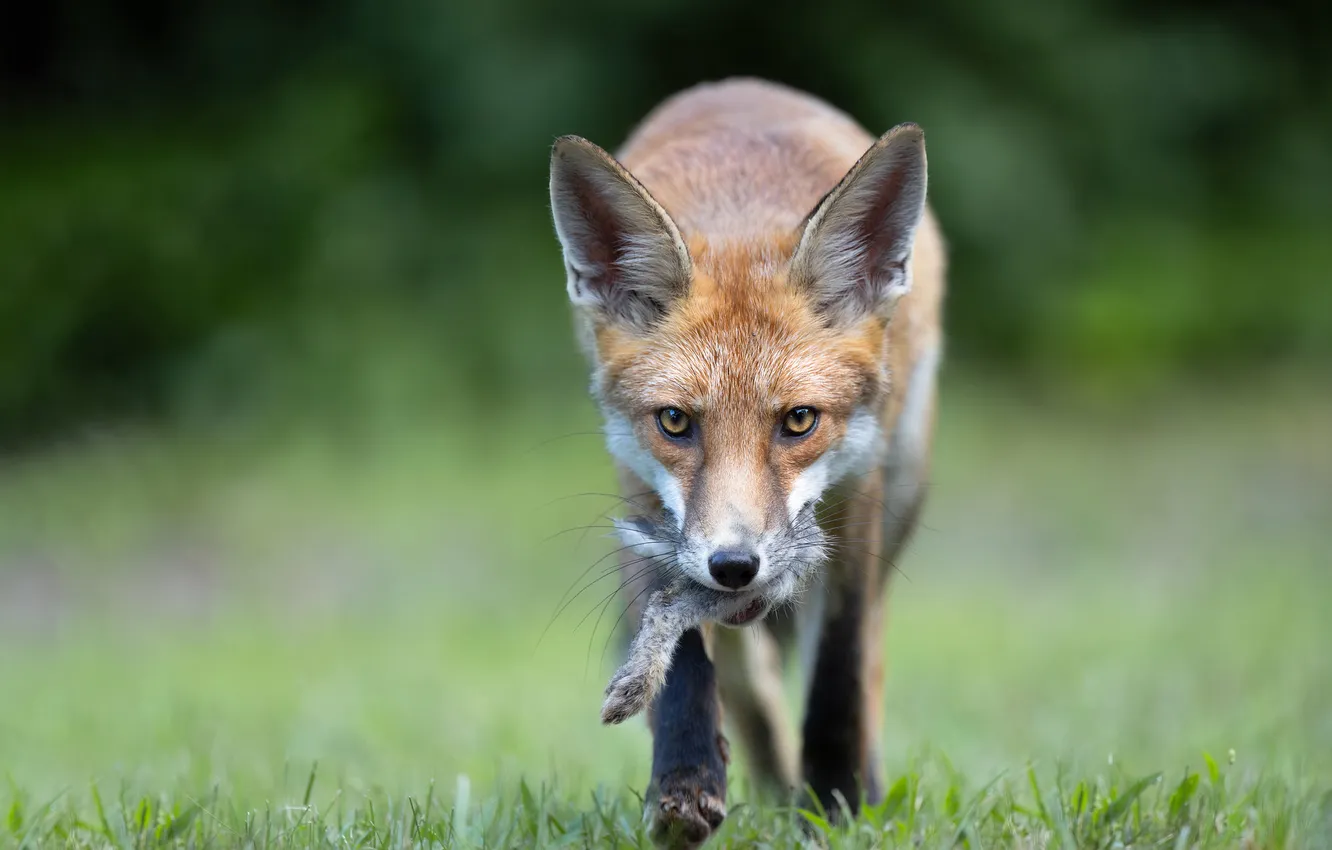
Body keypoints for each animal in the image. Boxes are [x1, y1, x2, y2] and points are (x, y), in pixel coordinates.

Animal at [548, 77, 945, 846]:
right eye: (675, 422)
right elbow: (681, 659)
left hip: (905, 478)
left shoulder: (856, 497)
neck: (741, 215)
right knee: (746, 675)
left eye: (799, 421)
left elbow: (839, 677)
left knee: (869, 656)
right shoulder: (643, 500)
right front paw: (685, 783)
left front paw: (836, 805)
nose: (735, 567)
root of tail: (744, 87)